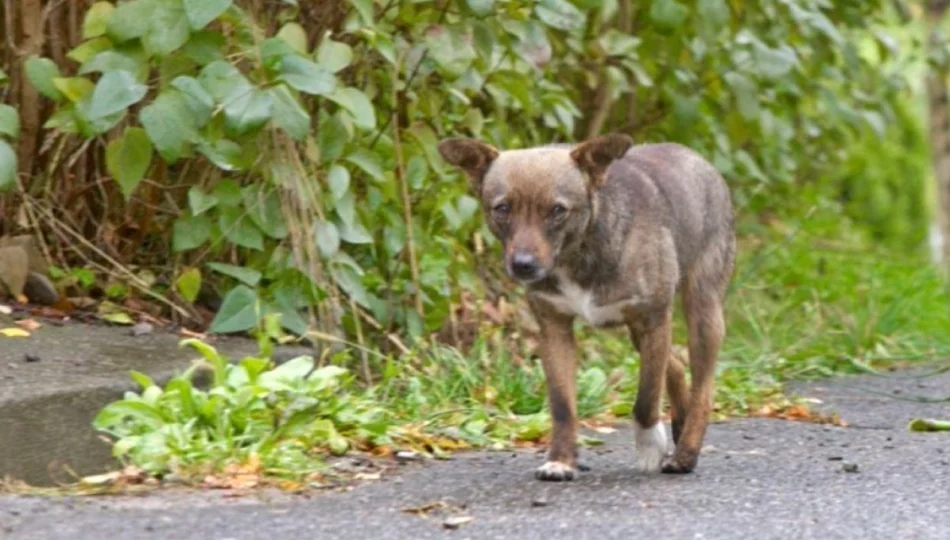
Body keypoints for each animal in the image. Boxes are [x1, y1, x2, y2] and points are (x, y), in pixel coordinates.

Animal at [438, 135, 736, 480]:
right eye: (502, 208)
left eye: (557, 210)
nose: (523, 265)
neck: (576, 252)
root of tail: (693, 156)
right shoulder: (555, 330)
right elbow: (562, 407)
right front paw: (561, 461)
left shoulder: (654, 319)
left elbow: (647, 396)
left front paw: (649, 443)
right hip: (639, 331)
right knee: (672, 365)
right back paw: (681, 420)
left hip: (702, 310)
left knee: (703, 387)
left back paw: (686, 451)